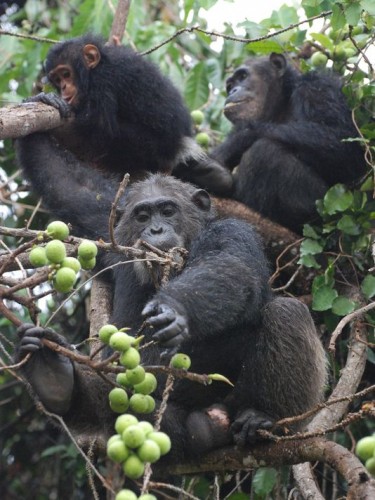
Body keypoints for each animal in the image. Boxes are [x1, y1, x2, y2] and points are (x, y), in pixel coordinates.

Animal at [15, 131, 326, 458]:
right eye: (142, 215)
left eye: (167, 210)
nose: (155, 229)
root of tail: (208, 426)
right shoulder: (106, 229)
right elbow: (75, 189)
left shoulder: (232, 233)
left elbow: (230, 269)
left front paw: (172, 309)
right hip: (167, 428)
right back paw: (55, 377)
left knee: (286, 313)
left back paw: (264, 416)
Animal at [25, 33, 232, 195]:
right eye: (57, 79)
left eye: (66, 74)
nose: (64, 88)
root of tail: (180, 146)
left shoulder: (104, 82)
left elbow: (97, 130)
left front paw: (44, 99)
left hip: (151, 147)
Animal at [212, 52, 368, 232]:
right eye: (230, 85)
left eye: (243, 76)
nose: (233, 91)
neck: (281, 103)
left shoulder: (317, 88)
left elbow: (344, 144)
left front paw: (235, 142)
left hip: (321, 212)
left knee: (265, 152)